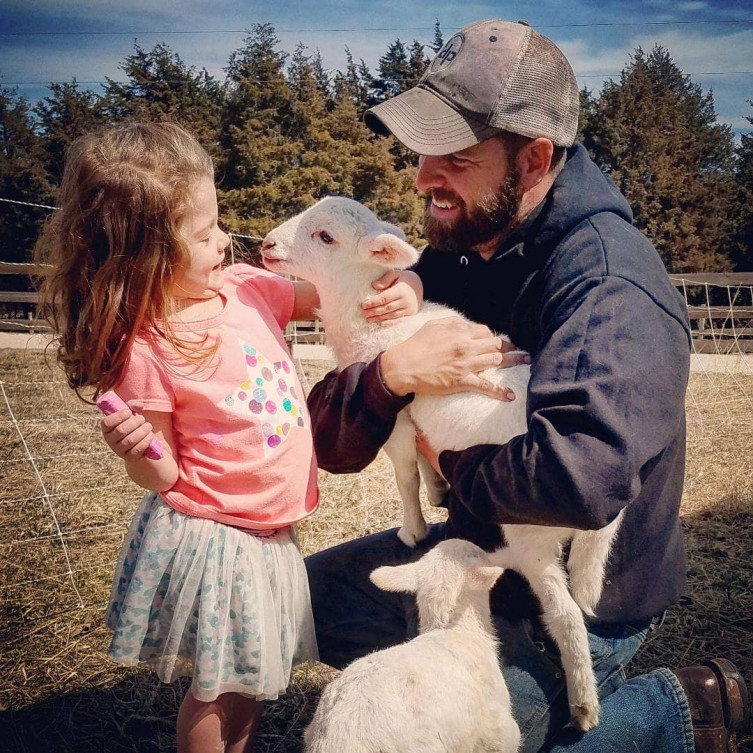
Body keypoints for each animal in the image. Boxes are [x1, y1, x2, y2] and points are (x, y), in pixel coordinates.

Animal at [262, 196, 623, 731]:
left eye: (325, 237)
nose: (267, 244)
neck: (369, 323)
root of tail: (597, 518)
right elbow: (420, 463)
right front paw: (438, 487)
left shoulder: (399, 416)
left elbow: (403, 473)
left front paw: (413, 527)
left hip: (530, 536)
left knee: (565, 616)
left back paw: (583, 705)